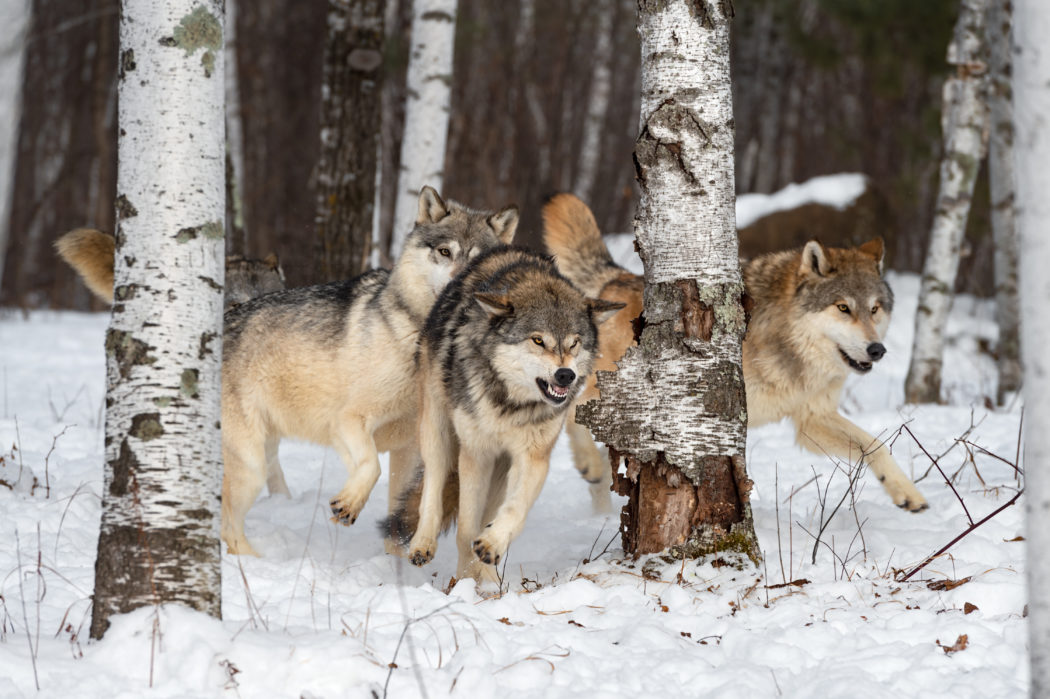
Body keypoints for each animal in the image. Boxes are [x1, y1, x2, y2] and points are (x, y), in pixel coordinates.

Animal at [388, 246, 623, 585]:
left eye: (574, 343)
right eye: (538, 340)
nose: (565, 375)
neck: (511, 404)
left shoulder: (532, 457)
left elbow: (513, 512)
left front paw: (490, 552)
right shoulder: (476, 454)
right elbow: (465, 530)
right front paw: (464, 582)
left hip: (501, 467)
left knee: (491, 510)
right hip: (437, 431)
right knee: (433, 481)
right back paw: (423, 543)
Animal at [542, 193, 928, 513]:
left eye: (875, 309)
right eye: (843, 308)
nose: (877, 349)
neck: (788, 343)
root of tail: (615, 280)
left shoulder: (811, 418)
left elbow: (875, 445)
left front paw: (908, 494)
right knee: (573, 411)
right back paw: (591, 468)